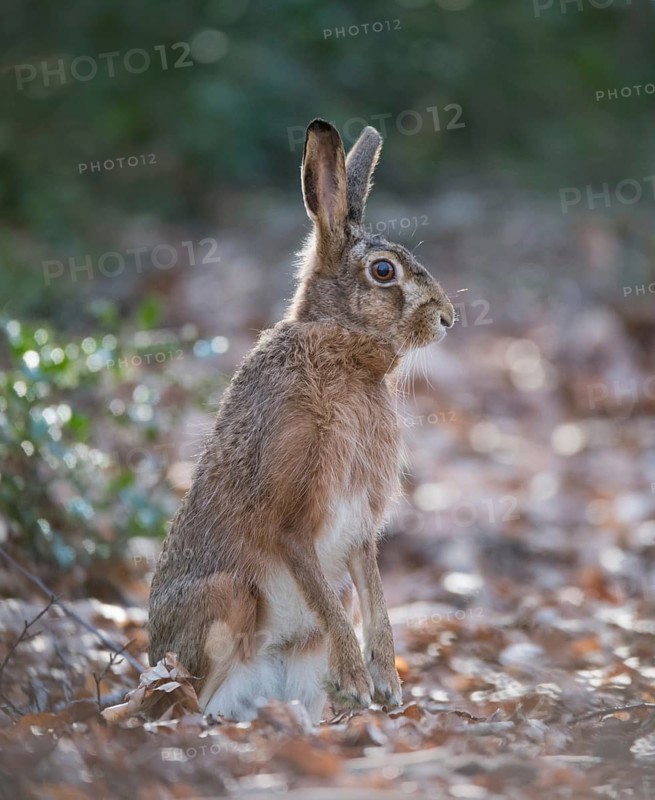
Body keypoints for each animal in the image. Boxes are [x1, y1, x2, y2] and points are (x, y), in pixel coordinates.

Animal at [148, 119, 454, 723]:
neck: (342, 352)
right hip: (227, 597)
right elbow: (318, 585)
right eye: (383, 271)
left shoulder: (361, 528)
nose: (447, 318)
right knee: (187, 703)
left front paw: (387, 686)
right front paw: (359, 681)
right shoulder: (291, 515)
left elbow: (374, 595)